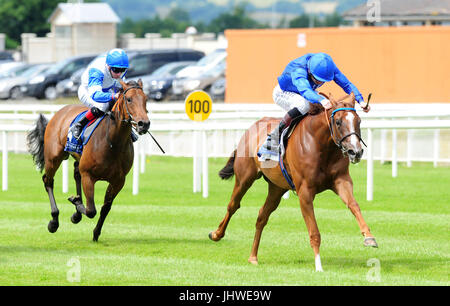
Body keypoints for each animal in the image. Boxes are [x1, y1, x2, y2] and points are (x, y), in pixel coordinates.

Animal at [26, 79, 149, 241]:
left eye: (146, 99)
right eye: (129, 99)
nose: (144, 123)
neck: (112, 142)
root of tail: (60, 112)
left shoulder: (118, 180)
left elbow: (105, 208)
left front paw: (95, 233)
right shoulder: (89, 176)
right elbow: (91, 210)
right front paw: (76, 203)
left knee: (75, 174)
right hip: (53, 158)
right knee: (48, 181)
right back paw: (54, 221)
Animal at [209, 92, 378, 272]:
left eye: (358, 121)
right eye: (338, 122)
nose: (356, 151)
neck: (321, 144)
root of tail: (251, 128)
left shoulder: (341, 180)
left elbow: (354, 205)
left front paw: (369, 237)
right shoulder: (305, 191)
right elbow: (314, 231)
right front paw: (318, 266)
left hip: (277, 187)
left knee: (262, 216)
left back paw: (253, 257)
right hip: (244, 178)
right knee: (233, 205)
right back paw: (216, 234)